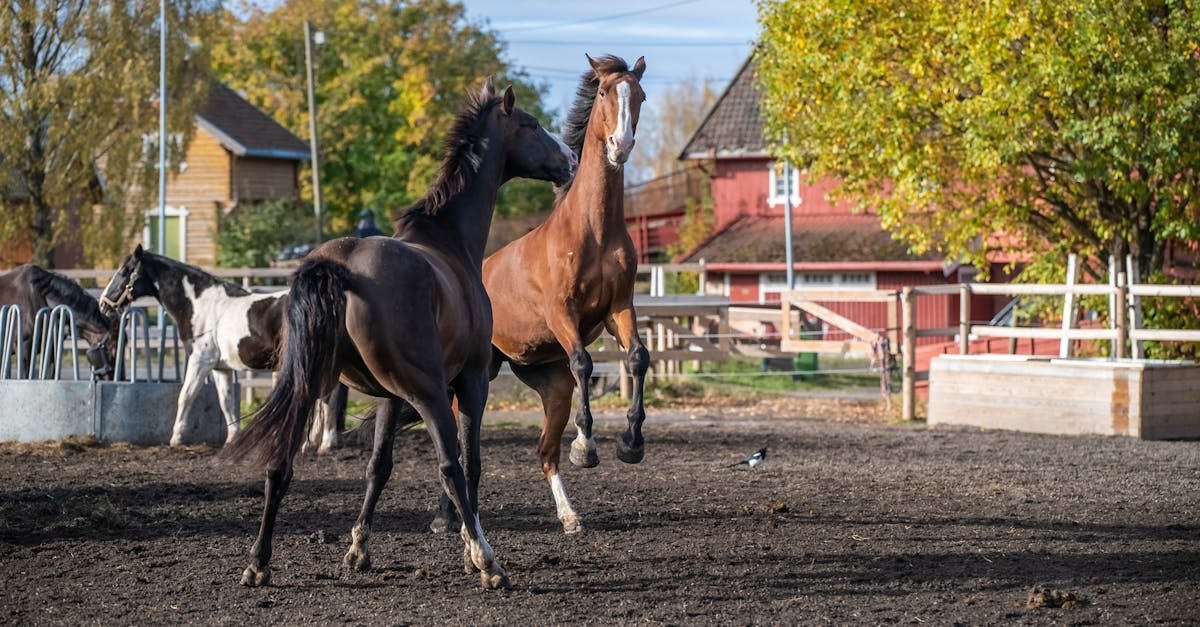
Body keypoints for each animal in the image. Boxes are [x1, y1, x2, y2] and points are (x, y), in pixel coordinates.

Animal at [97, 247, 348, 448]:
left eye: (125, 271)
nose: (103, 304)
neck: (201, 306)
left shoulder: (200, 361)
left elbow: (186, 396)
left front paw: (176, 437)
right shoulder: (221, 369)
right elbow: (226, 402)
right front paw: (232, 438)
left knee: (327, 398)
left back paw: (323, 443)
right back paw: (317, 442)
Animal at [222, 79, 575, 589]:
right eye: (530, 124)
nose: (569, 160)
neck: (449, 242)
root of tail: (341, 265)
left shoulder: (388, 397)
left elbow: (378, 468)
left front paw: (358, 550)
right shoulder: (470, 381)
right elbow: (469, 465)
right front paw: (470, 550)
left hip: (310, 385)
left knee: (279, 465)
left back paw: (258, 562)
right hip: (428, 392)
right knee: (450, 467)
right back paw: (490, 564)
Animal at [455, 54, 650, 535]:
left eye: (639, 95)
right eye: (605, 92)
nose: (621, 145)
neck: (593, 230)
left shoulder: (620, 308)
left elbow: (638, 357)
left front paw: (631, 443)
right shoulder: (563, 314)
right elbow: (584, 362)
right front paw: (586, 447)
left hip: (547, 380)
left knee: (545, 450)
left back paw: (569, 516)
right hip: (474, 377)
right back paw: (448, 521)